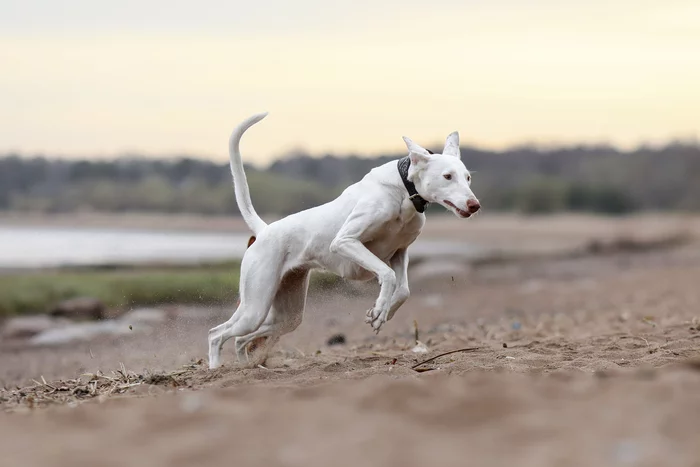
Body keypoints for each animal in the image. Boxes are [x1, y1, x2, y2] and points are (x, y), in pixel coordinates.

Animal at [208, 112, 478, 370]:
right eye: (447, 176)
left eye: (467, 178)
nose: (475, 205)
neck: (403, 189)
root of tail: (264, 230)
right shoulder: (345, 241)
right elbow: (388, 275)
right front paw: (379, 310)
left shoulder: (400, 251)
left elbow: (403, 290)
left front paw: (382, 312)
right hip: (256, 306)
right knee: (216, 334)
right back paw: (215, 368)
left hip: (286, 315)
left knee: (241, 339)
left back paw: (249, 367)